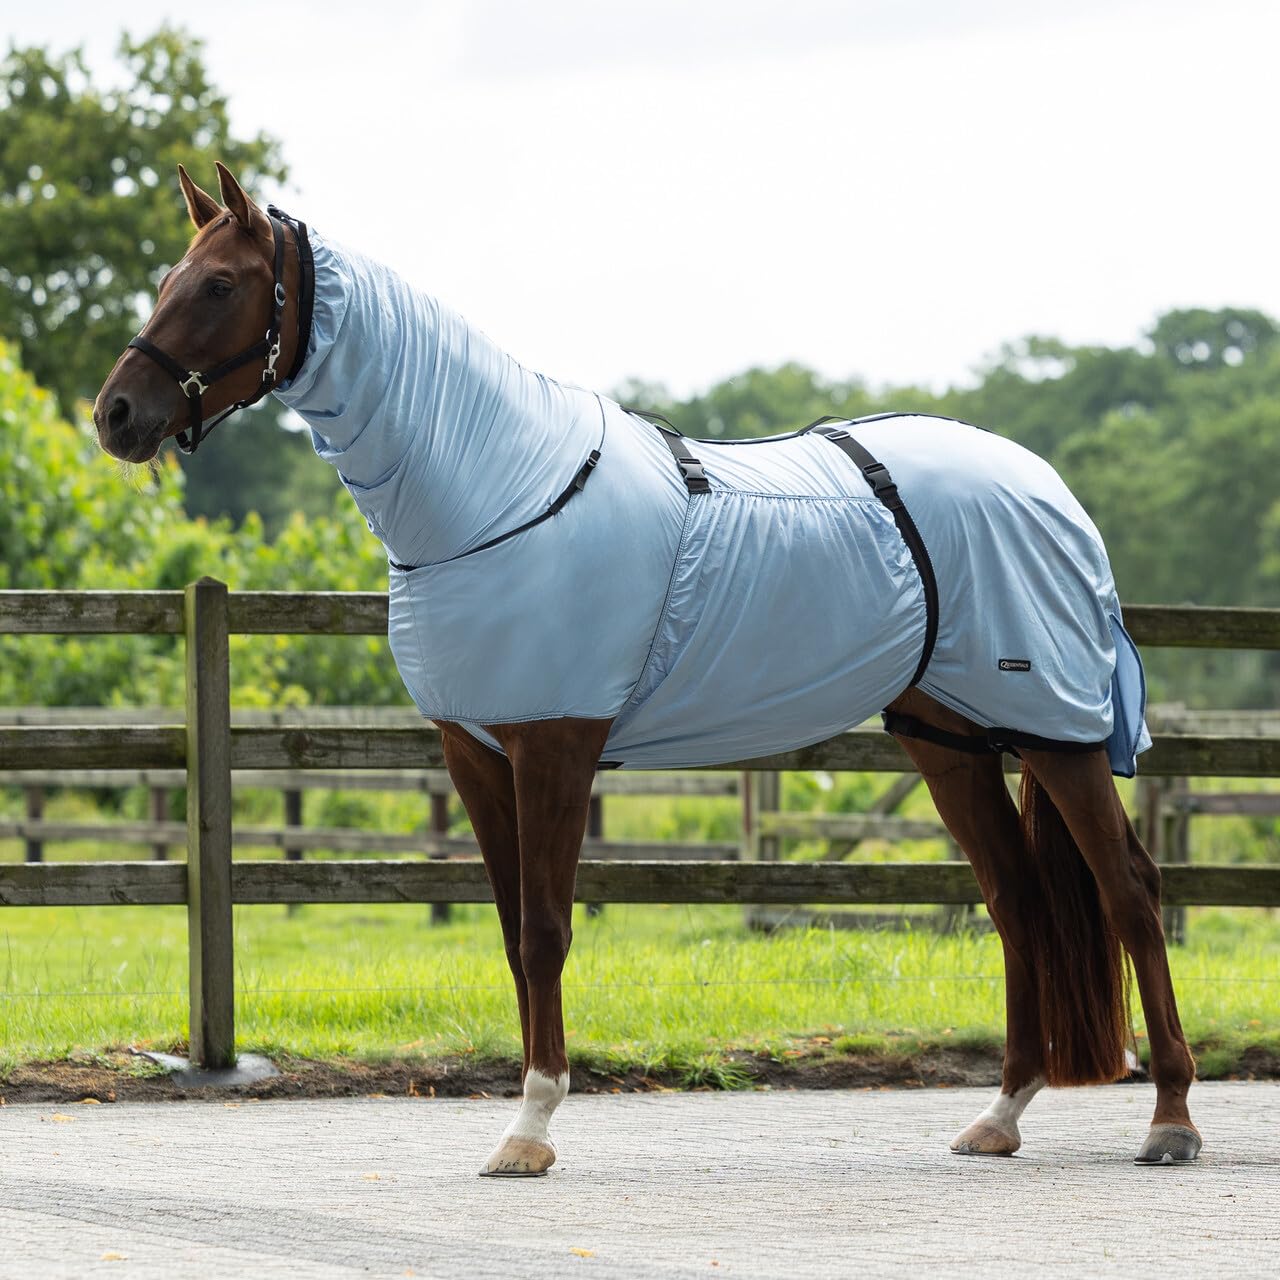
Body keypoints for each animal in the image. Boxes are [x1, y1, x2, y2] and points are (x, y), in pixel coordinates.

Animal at [93, 162, 1200, 1176]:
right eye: (167, 277)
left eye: (220, 285)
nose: (116, 415)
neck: (499, 488)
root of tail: (1046, 486)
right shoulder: (473, 752)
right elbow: (511, 934)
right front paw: (525, 1114)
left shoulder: (556, 742)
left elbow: (545, 930)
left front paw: (531, 1128)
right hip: (950, 738)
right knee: (1018, 904)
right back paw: (1000, 1115)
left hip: (1054, 731)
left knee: (1130, 891)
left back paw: (1171, 1119)